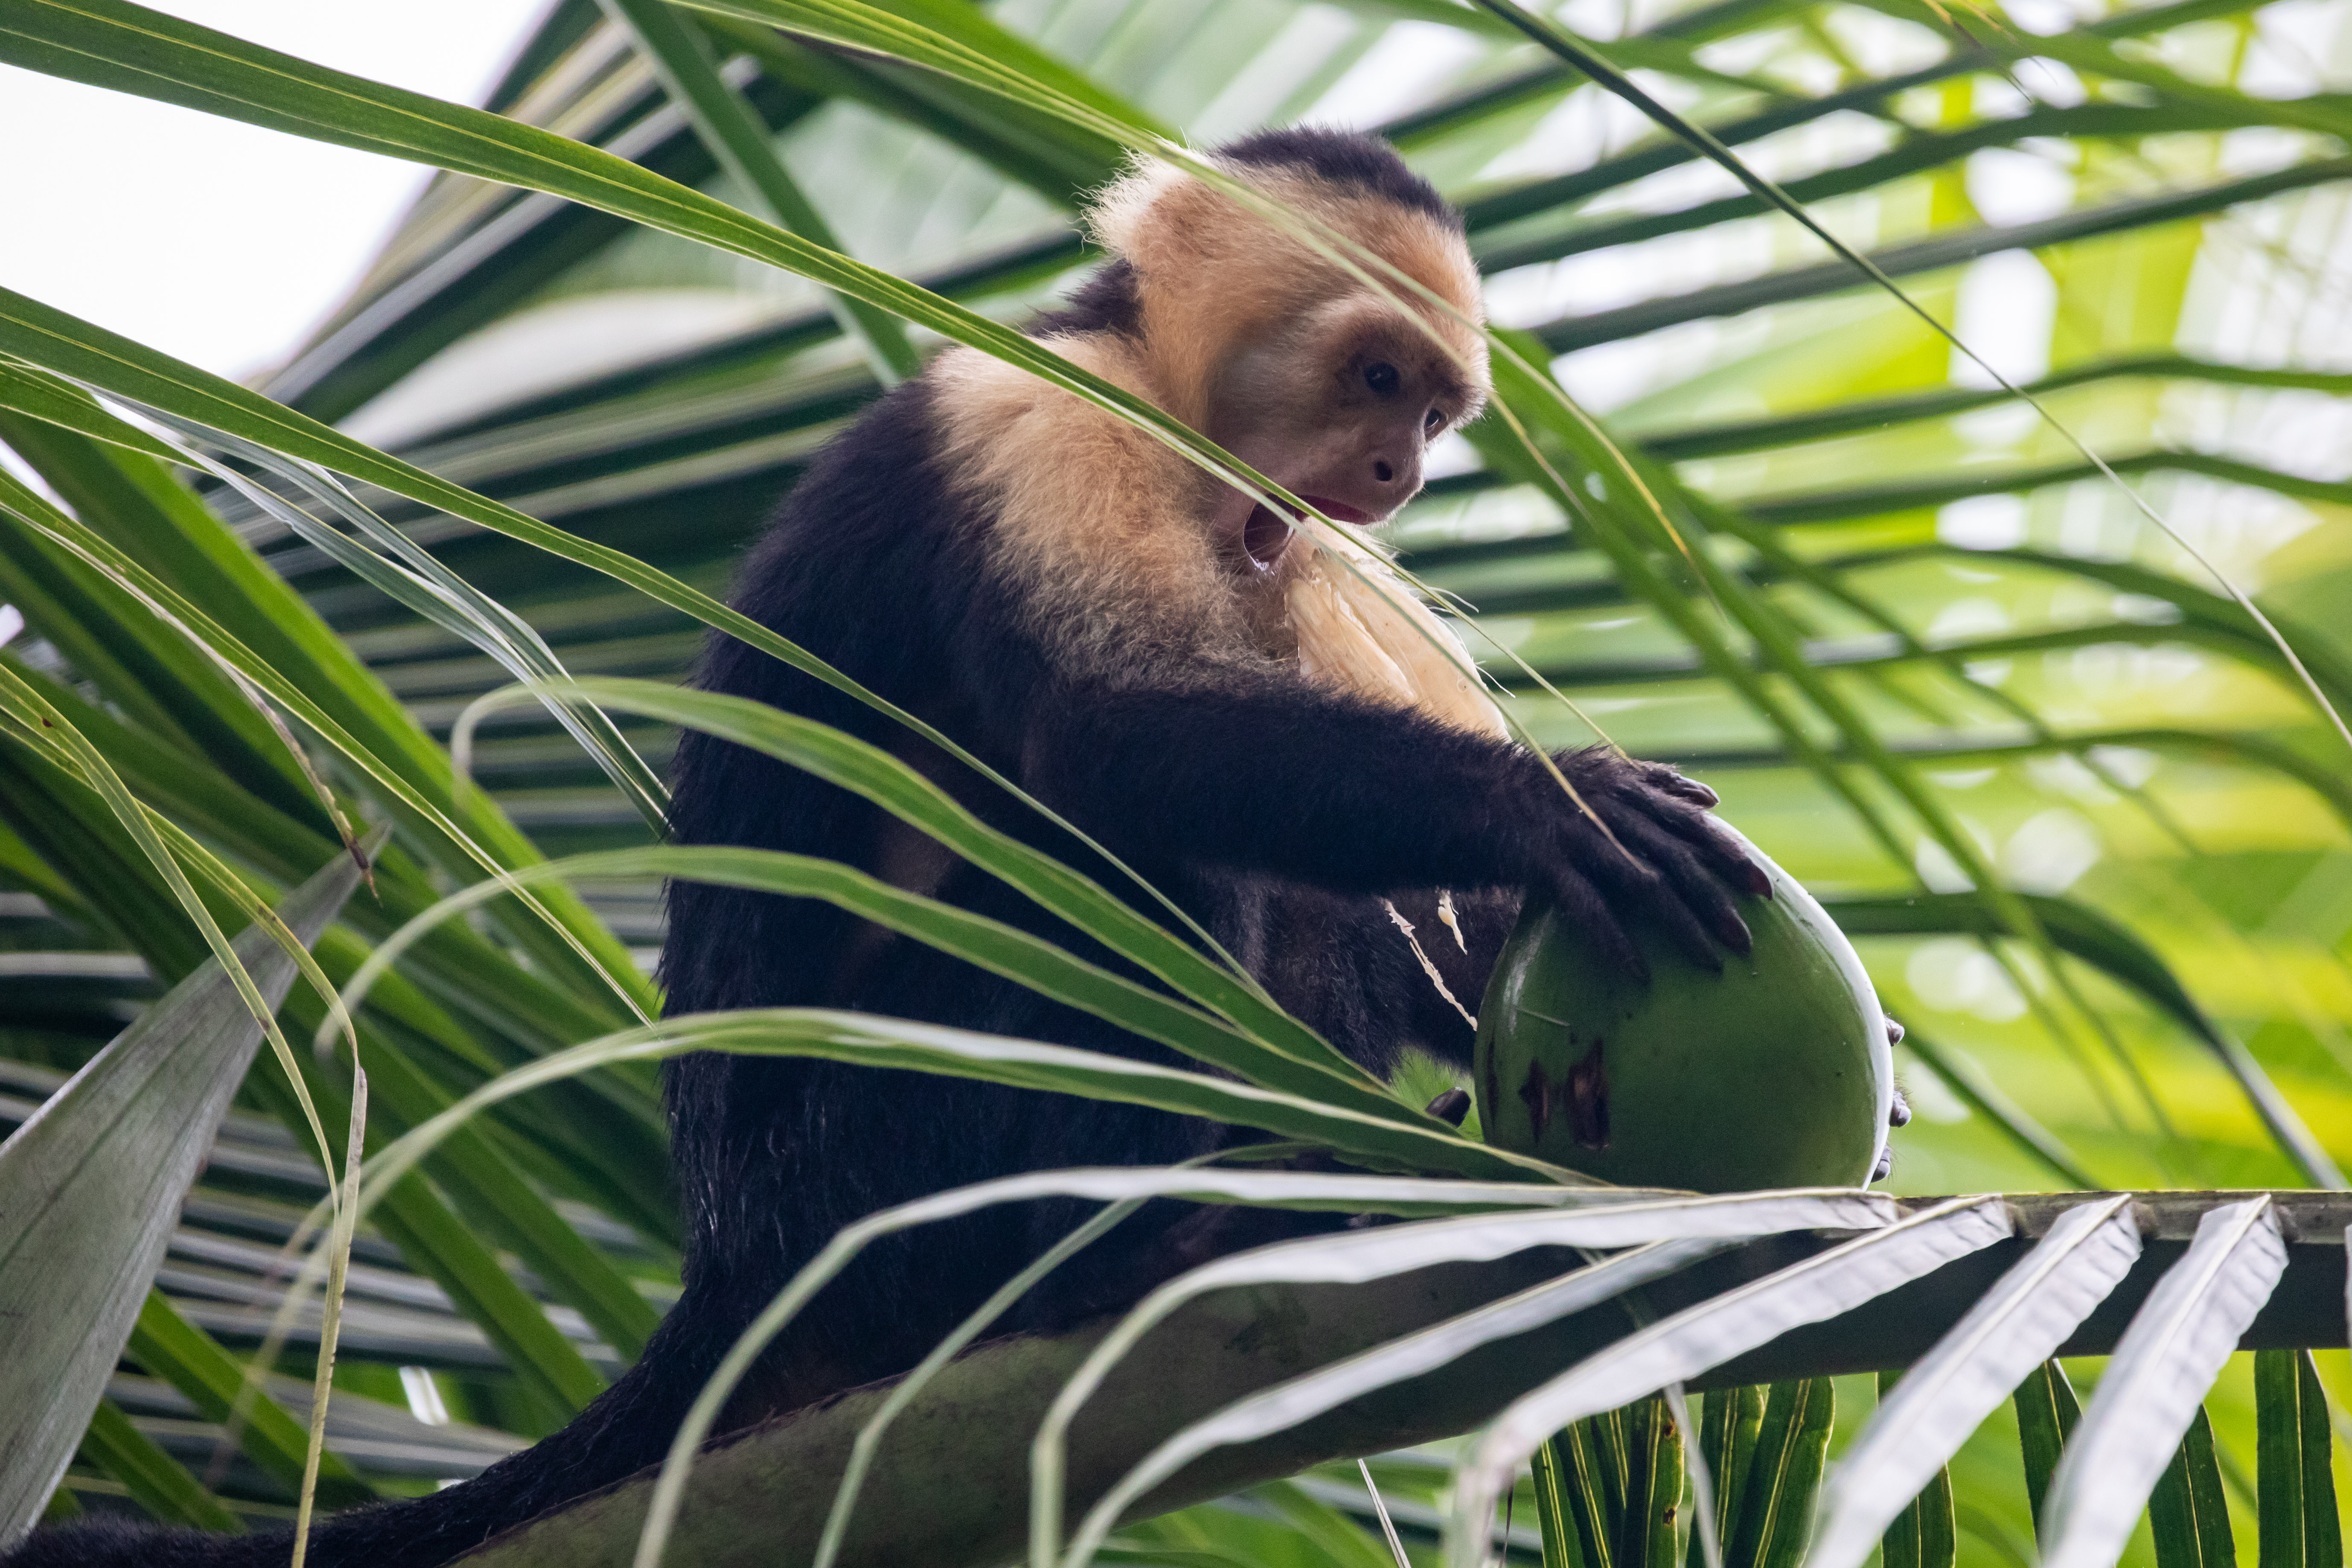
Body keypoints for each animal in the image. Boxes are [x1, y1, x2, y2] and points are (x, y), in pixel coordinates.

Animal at [6, 128, 1790, 1568]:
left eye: (1430, 409)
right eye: (1373, 381)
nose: (1398, 469)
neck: (1149, 388)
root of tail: (732, 1254)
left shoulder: (1289, 543)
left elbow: (1406, 898)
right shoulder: (1044, 425)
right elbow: (1107, 738)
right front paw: (1544, 810)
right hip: (866, 1161)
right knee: (1127, 851)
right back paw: (1126, 1235)